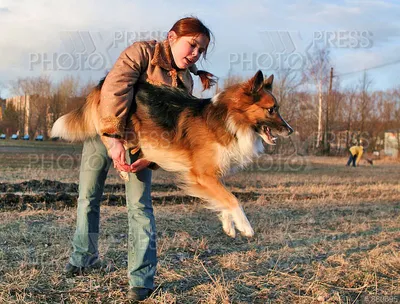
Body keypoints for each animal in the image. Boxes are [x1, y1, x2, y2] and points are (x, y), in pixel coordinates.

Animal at [51, 70, 292, 238]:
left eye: (277, 108)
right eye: (271, 109)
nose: (290, 130)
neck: (230, 119)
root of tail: (103, 81)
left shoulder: (211, 176)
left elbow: (222, 199)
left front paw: (228, 226)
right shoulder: (202, 175)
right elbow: (232, 199)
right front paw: (245, 226)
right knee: (111, 140)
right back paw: (123, 168)